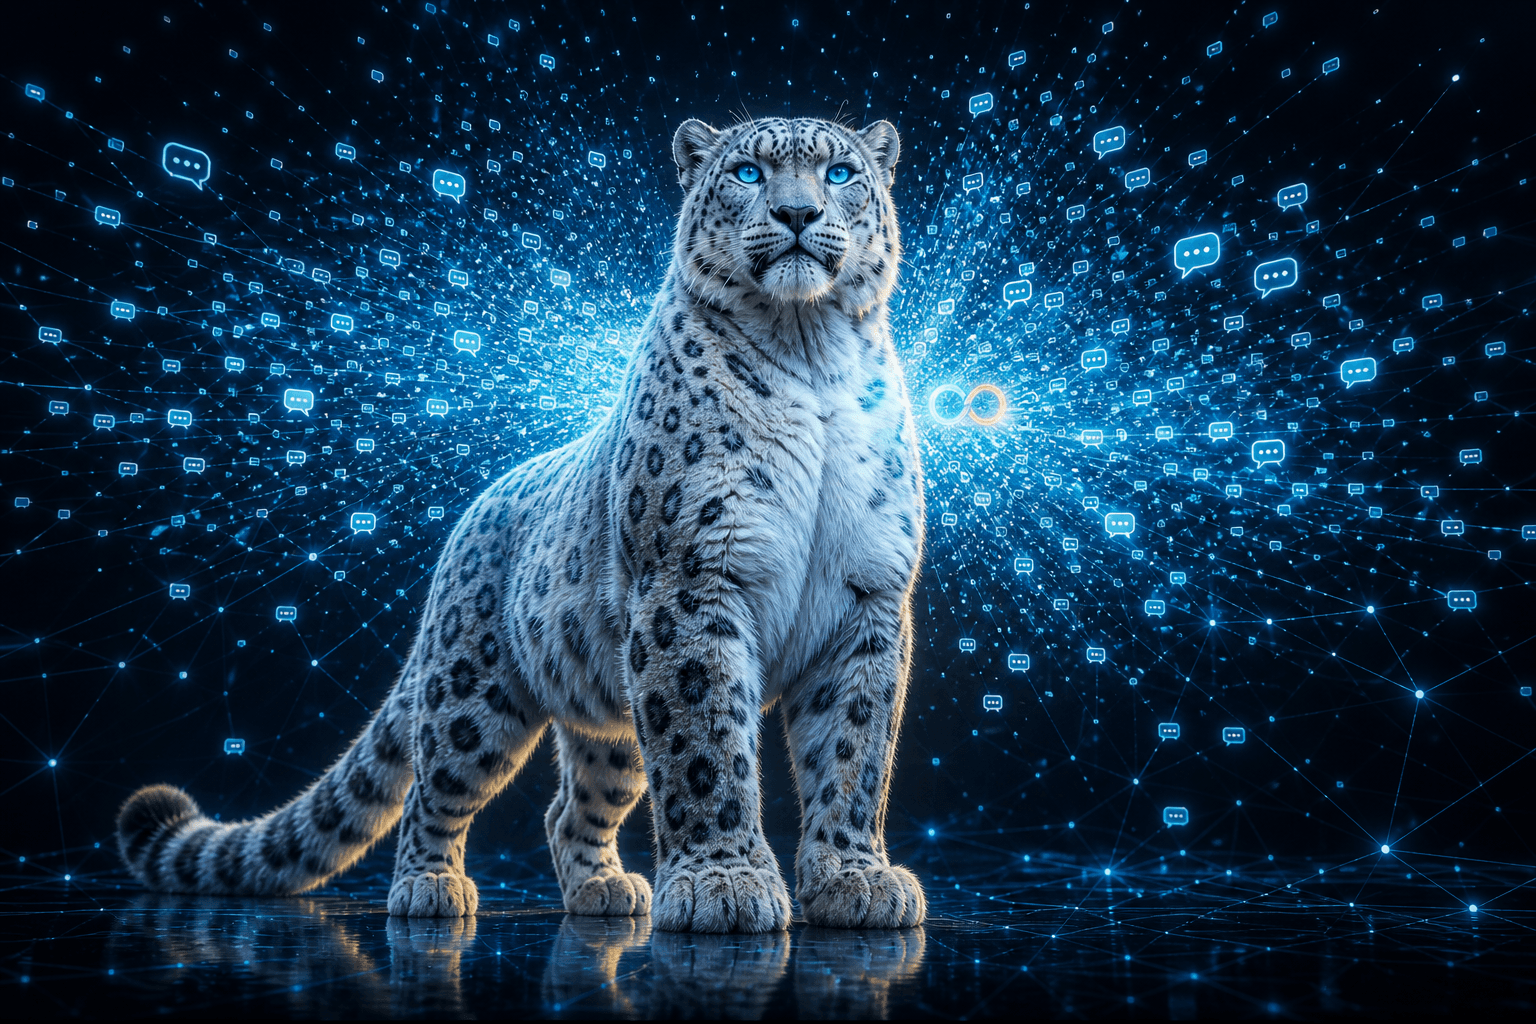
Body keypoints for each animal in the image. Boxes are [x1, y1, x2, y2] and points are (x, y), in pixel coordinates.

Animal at [117, 115, 926, 933]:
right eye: (748, 173)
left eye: (840, 174)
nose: (797, 213)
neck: (810, 348)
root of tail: (469, 520)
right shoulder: (690, 581)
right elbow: (704, 746)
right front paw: (723, 881)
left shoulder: (868, 599)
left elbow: (854, 751)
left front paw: (856, 879)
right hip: (471, 695)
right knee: (433, 791)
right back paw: (431, 890)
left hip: (610, 717)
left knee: (571, 805)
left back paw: (606, 892)